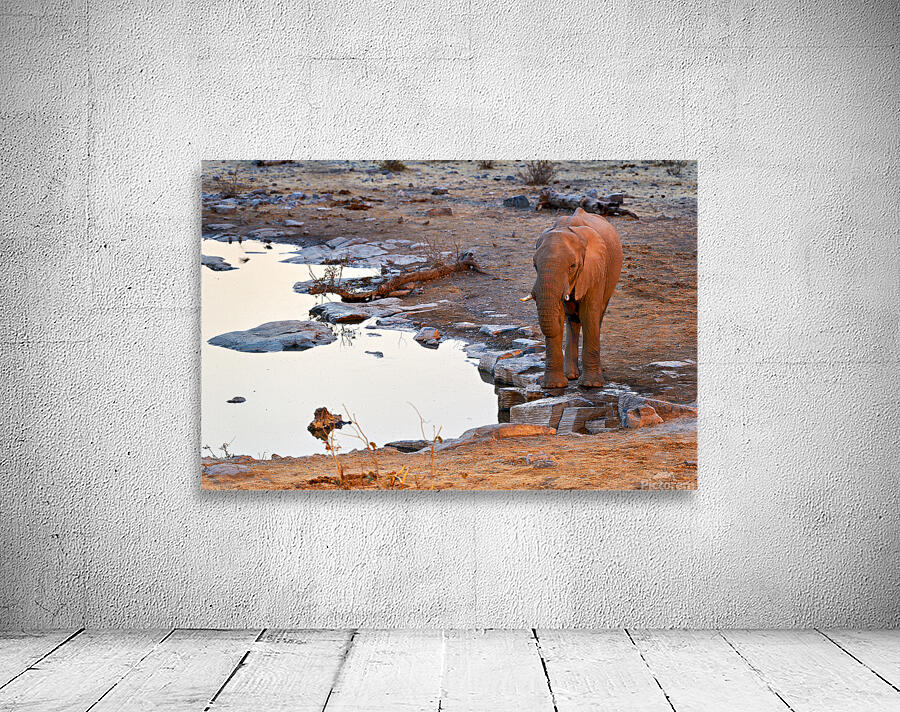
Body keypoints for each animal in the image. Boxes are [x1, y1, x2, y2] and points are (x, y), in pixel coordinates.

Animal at [527, 207, 622, 389]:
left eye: (572, 266)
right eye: (535, 266)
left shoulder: (595, 269)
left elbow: (589, 314)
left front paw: (591, 385)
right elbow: (561, 315)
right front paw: (553, 386)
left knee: (597, 315)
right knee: (572, 320)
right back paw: (570, 375)